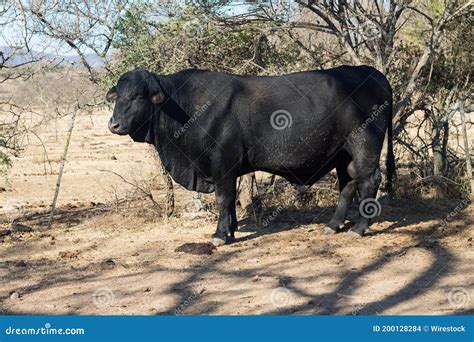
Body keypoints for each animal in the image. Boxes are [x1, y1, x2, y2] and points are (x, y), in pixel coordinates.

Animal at [107, 65, 396, 244]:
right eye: (117, 96)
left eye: (137, 96)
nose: (114, 124)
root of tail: (371, 72)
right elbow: (230, 201)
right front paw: (231, 229)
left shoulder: (222, 163)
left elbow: (224, 198)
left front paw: (221, 234)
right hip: (342, 154)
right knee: (348, 184)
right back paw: (333, 225)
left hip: (364, 145)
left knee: (369, 180)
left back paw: (359, 228)